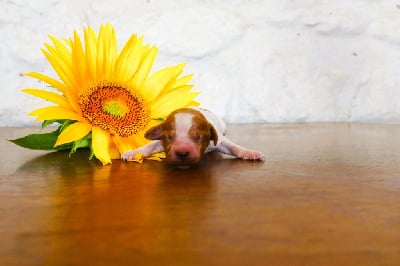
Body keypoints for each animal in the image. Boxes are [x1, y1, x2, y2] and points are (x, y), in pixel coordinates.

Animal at [122, 107, 266, 166]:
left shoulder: (219, 141)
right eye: (168, 137)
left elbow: (233, 146)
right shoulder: (160, 142)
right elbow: (150, 145)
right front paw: (134, 153)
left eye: (199, 137)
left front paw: (250, 153)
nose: (182, 153)